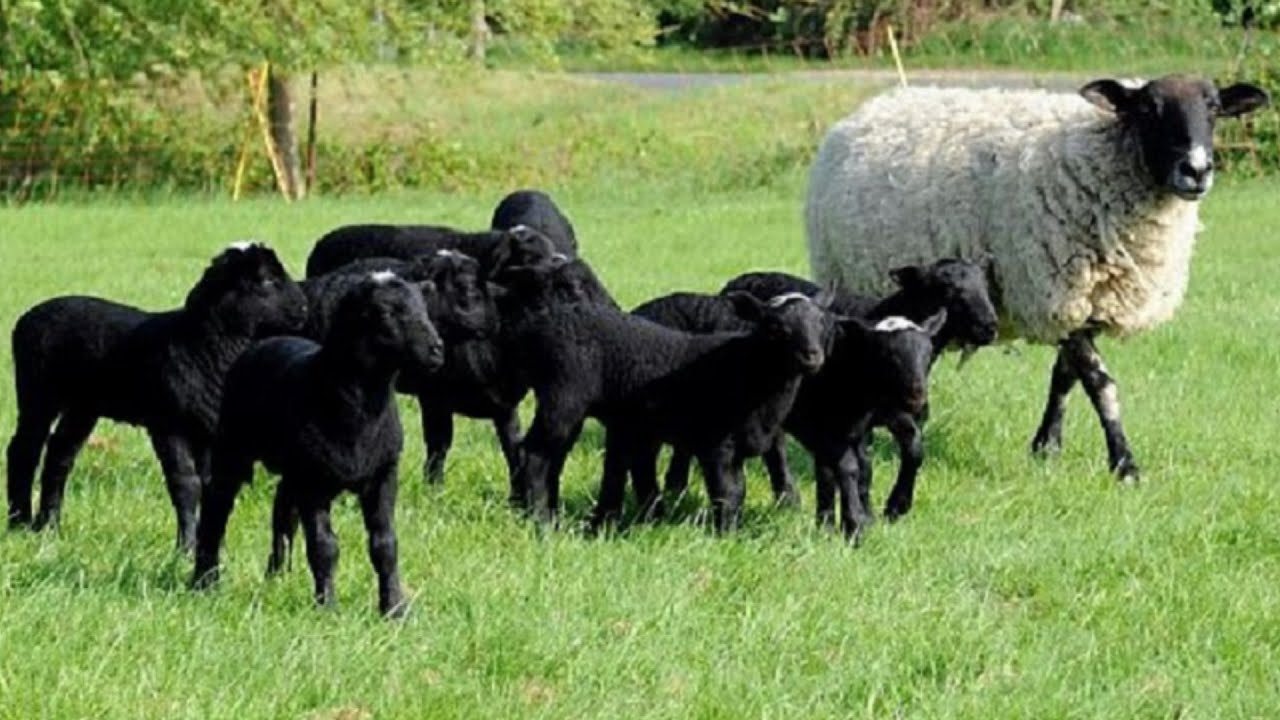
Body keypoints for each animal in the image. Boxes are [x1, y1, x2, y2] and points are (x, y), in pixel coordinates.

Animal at [6, 242, 308, 549]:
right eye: (266, 280)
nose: (304, 307)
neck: (202, 345)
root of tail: (28, 316)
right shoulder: (168, 424)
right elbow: (186, 484)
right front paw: (185, 547)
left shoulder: (207, 431)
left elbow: (208, 483)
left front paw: (207, 543)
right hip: (37, 391)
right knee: (24, 450)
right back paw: (19, 522)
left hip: (83, 405)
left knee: (59, 454)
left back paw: (49, 526)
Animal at [190, 272, 445, 617]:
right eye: (385, 313)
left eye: (425, 308)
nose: (436, 350)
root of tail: (265, 342)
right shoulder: (313, 482)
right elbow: (324, 546)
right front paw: (328, 608)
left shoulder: (383, 474)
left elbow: (385, 545)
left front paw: (394, 608)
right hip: (234, 447)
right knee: (217, 506)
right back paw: (204, 581)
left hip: (292, 469)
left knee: (282, 513)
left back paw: (276, 577)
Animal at [507, 291, 830, 532]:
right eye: (775, 328)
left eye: (822, 323)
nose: (812, 356)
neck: (748, 368)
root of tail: (537, 329)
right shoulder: (716, 443)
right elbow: (727, 493)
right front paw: (725, 535)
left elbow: (739, 491)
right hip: (563, 398)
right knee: (535, 453)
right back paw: (541, 522)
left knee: (554, 458)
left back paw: (550, 515)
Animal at [805, 74, 1269, 481]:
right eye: (1147, 109)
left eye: (1214, 108)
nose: (1197, 169)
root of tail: (869, 108)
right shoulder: (1057, 291)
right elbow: (1100, 383)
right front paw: (1125, 465)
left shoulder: (1082, 302)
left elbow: (1065, 376)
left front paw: (1047, 448)